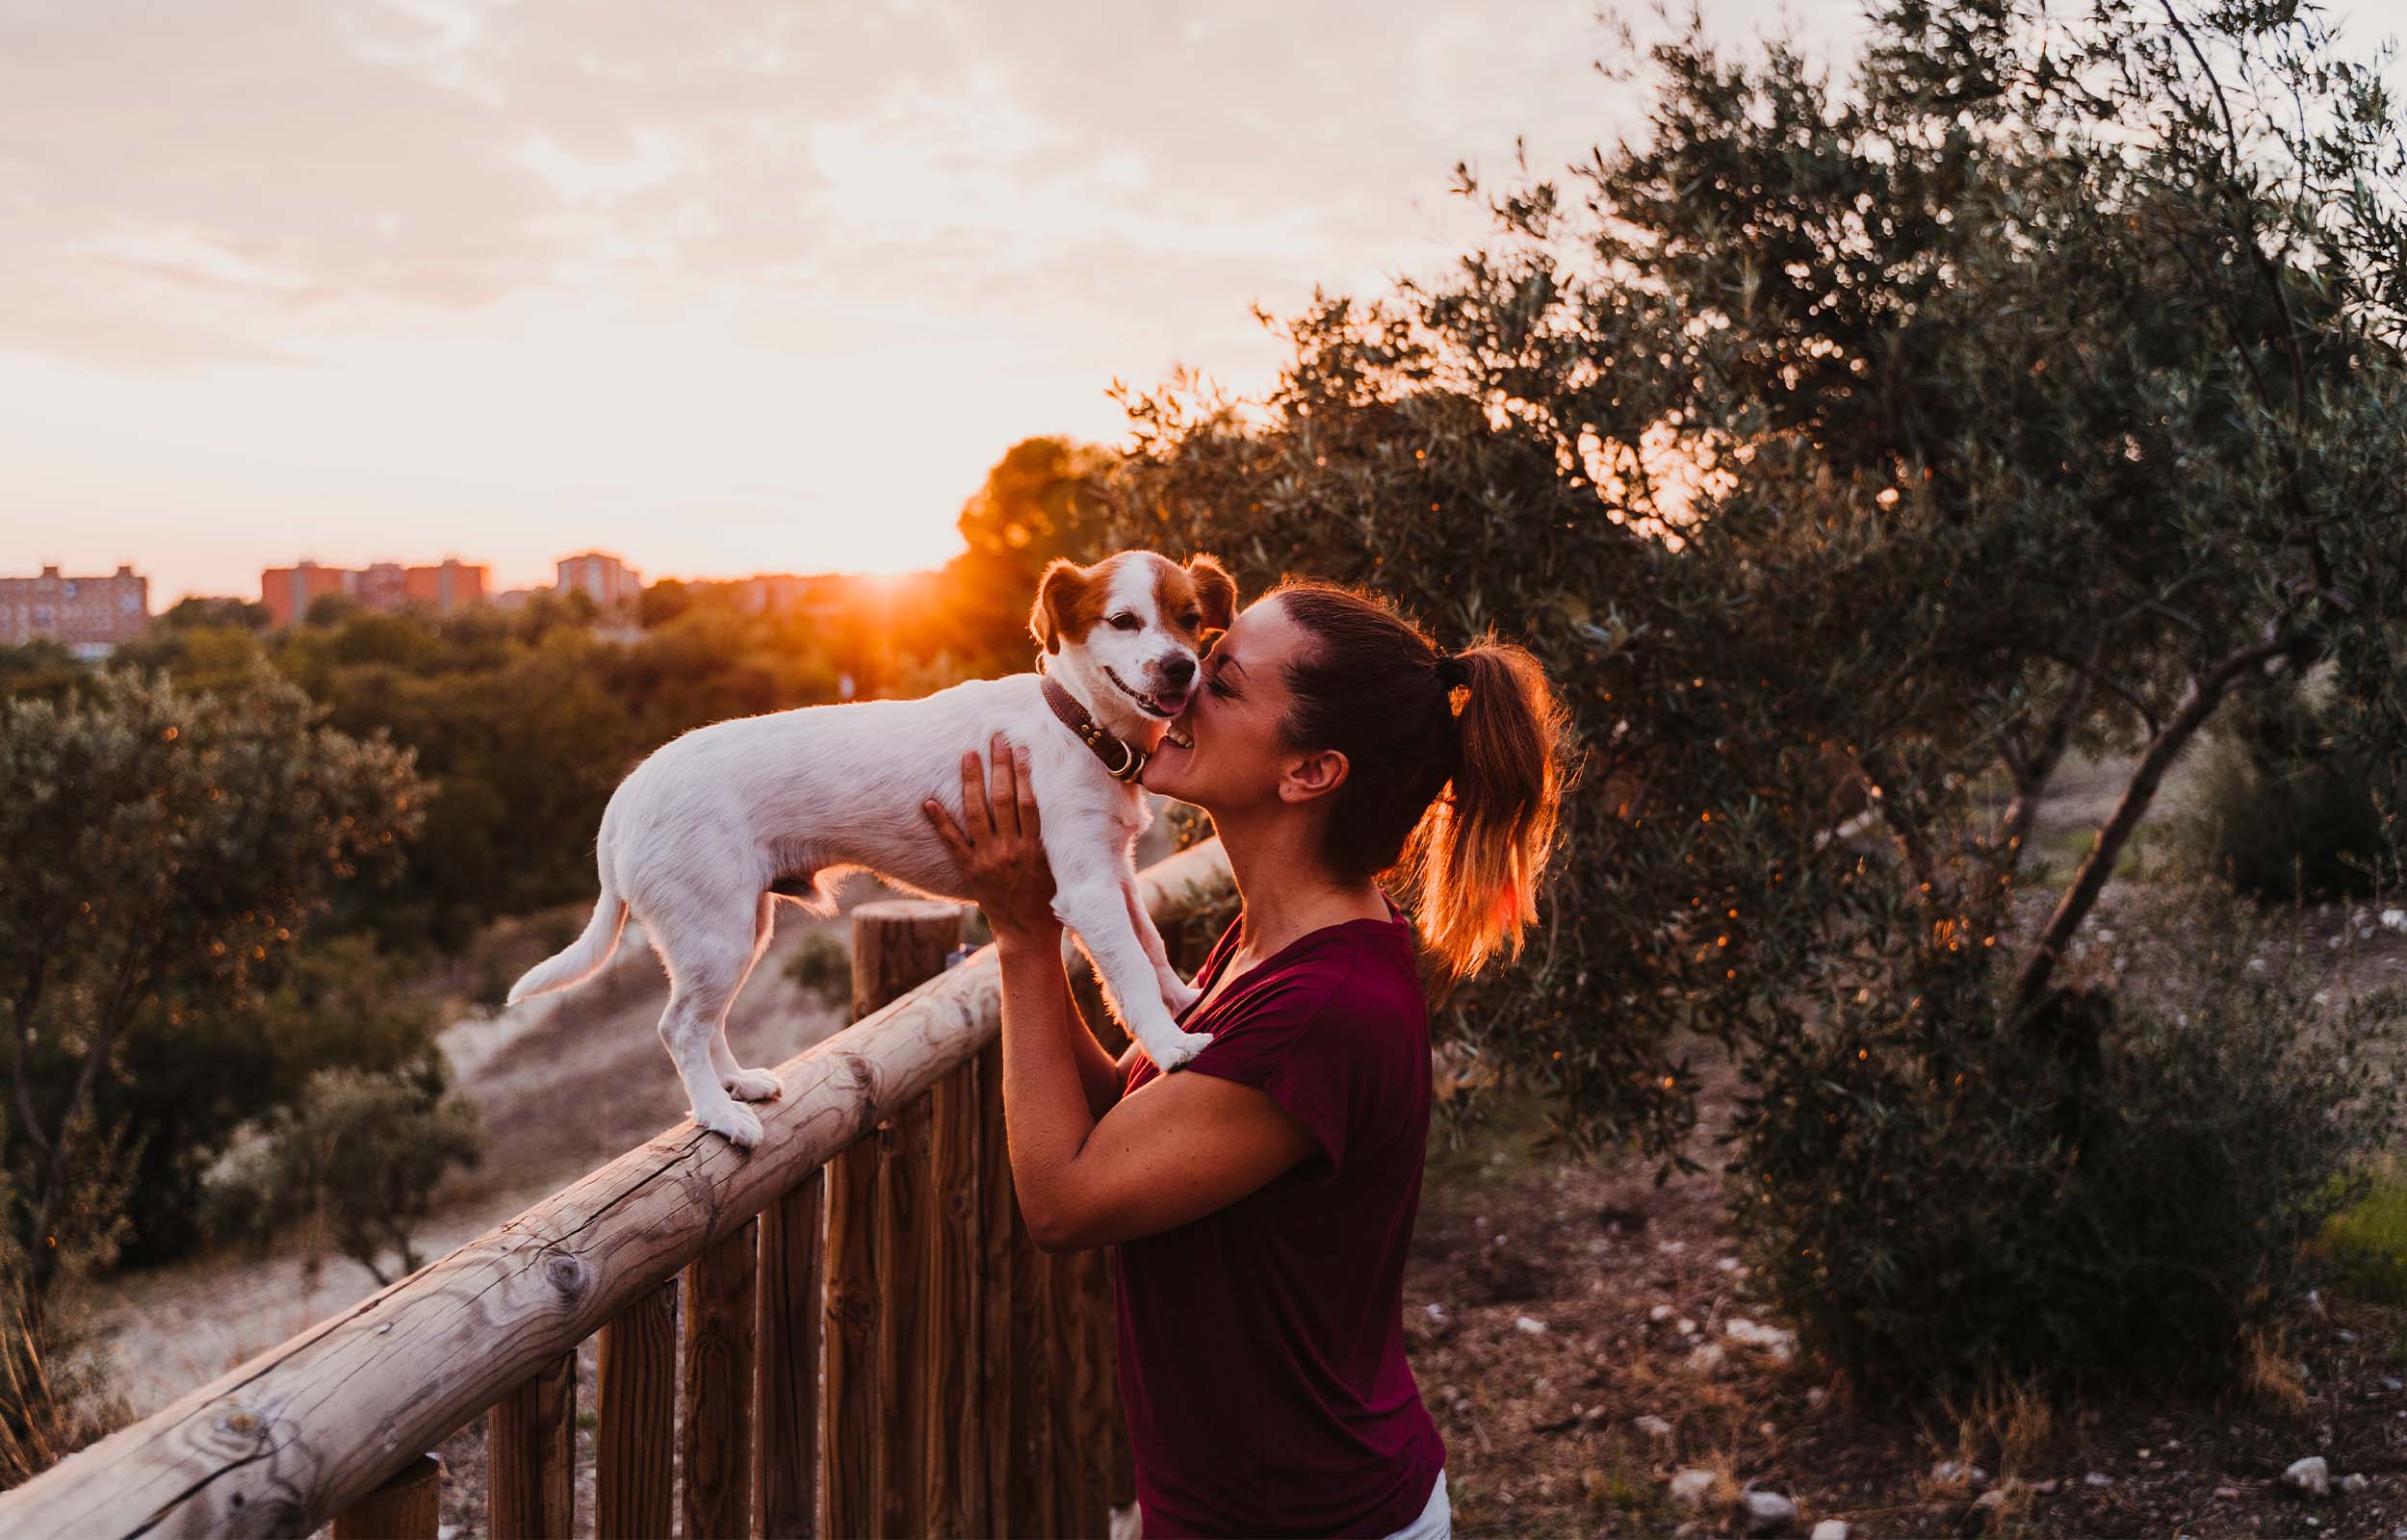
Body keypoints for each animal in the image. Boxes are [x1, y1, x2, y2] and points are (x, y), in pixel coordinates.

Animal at [501, 551, 1232, 1145]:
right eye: (1124, 621)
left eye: (1191, 619)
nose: (1181, 668)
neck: (1078, 724)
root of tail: (626, 795)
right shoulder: (1085, 888)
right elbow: (1129, 972)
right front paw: (1170, 1044)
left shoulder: (1117, 873)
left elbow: (1151, 945)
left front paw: (1183, 995)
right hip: (717, 935)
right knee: (678, 1027)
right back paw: (719, 1116)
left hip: (739, 931)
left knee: (706, 1023)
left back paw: (738, 1085)